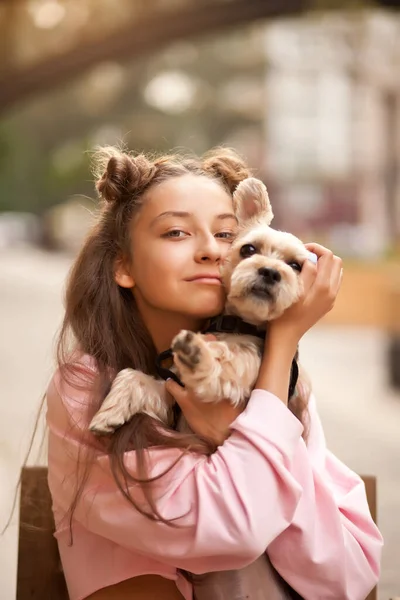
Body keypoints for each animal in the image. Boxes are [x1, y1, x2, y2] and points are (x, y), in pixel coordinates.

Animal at [90, 178, 312, 436]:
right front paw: (109, 413)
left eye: (295, 265)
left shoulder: (244, 371)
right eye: (248, 249)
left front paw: (198, 354)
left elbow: (226, 363)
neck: (237, 325)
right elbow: (132, 376)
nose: (270, 272)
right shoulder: (172, 391)